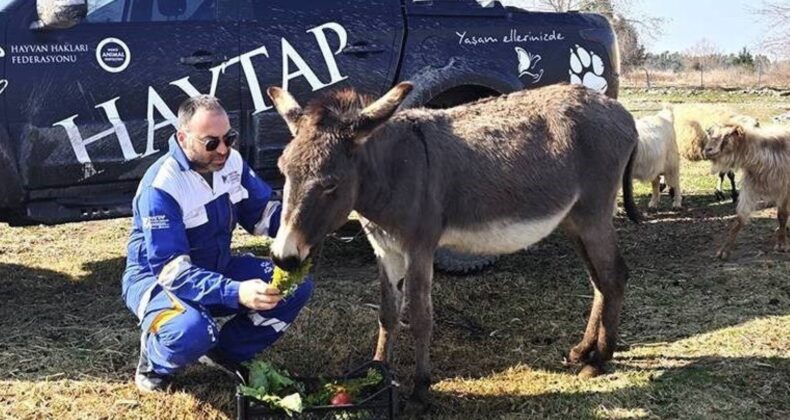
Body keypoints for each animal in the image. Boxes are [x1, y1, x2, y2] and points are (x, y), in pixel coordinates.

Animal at [704, 123, 790, 258]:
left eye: (727, 135)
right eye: (711, 133)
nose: (708, 150)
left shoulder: (784, 188)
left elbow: (782, 215)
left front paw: (782, 244)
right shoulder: (750, 188)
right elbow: (740, 217)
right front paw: (725, 249)